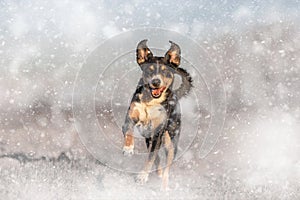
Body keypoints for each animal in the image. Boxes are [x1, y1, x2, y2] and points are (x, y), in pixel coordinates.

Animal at [122, 38, 192, 189]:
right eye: (149, 70)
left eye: (165, 72)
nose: (155, 81)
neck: (150, 103)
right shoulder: (130, 117)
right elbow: (129, 131)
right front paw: (128, 148)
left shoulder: (157, 133)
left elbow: (150, 158)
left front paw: (142, 176)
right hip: (148, 138)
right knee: (157, 159)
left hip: (171, 141)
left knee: (167, 164)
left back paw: (164, 184)